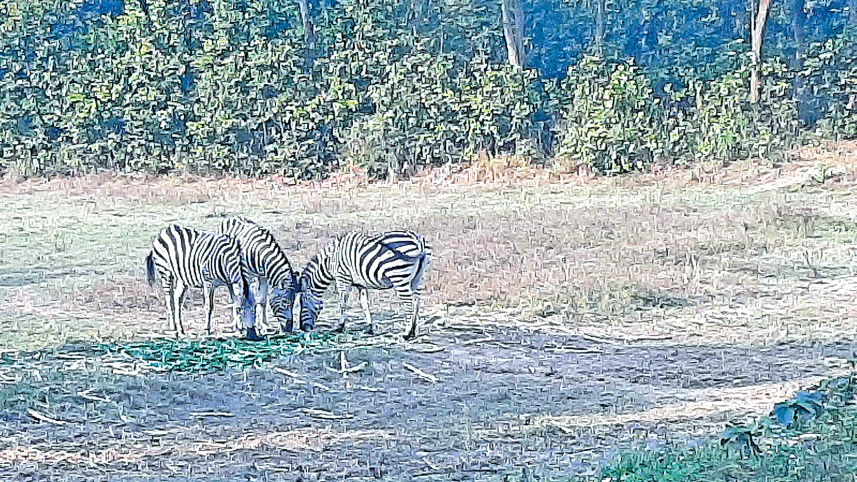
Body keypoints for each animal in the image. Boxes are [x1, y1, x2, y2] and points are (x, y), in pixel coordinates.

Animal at [298, 230, 431, 340]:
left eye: (302, 304)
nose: (303, 328)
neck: (330, 262)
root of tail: (418, 240)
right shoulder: (360, 284)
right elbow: (364, 304)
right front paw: (369, 327)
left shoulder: (342, 278)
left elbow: (342, 303)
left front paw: (340, 326)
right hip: (418, 278)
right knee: (416, 300)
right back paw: (413, 330)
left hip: (399, 277)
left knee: (409, 303)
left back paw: (406, 333)